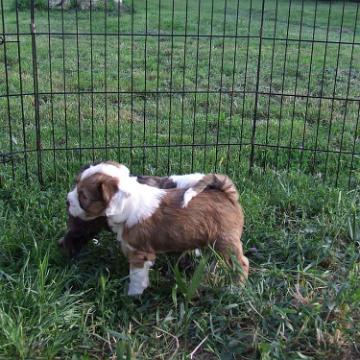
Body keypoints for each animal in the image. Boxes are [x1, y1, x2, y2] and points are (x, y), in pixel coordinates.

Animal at [67, 163, 248, 296]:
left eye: (83, 196)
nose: (67, 200)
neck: (127, 204)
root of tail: (226, 193)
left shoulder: (139, 253)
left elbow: (136, 277)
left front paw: (132, 296)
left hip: (225, 241)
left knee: (241, 263)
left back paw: (236, 288)